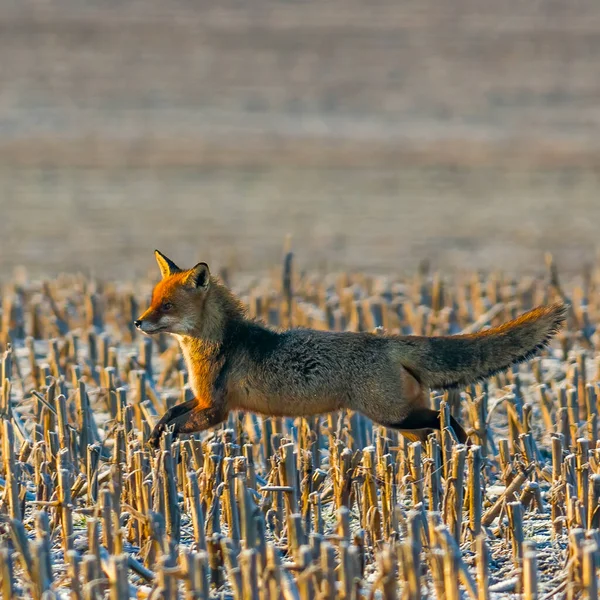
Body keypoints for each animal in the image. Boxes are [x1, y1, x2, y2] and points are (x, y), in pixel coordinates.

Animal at [135, 250, 568, 450]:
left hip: (393, 416)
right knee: (435, 426)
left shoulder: (216, 410)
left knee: (446, 419)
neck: (217, 345)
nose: (138, 322)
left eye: (166, 307)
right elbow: (168, 413)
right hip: (403, 422)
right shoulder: (202, 398)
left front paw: (158, 443)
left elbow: (176, 423)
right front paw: (152, 439)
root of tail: (387, 341)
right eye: (152, 302)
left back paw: (463, 450)